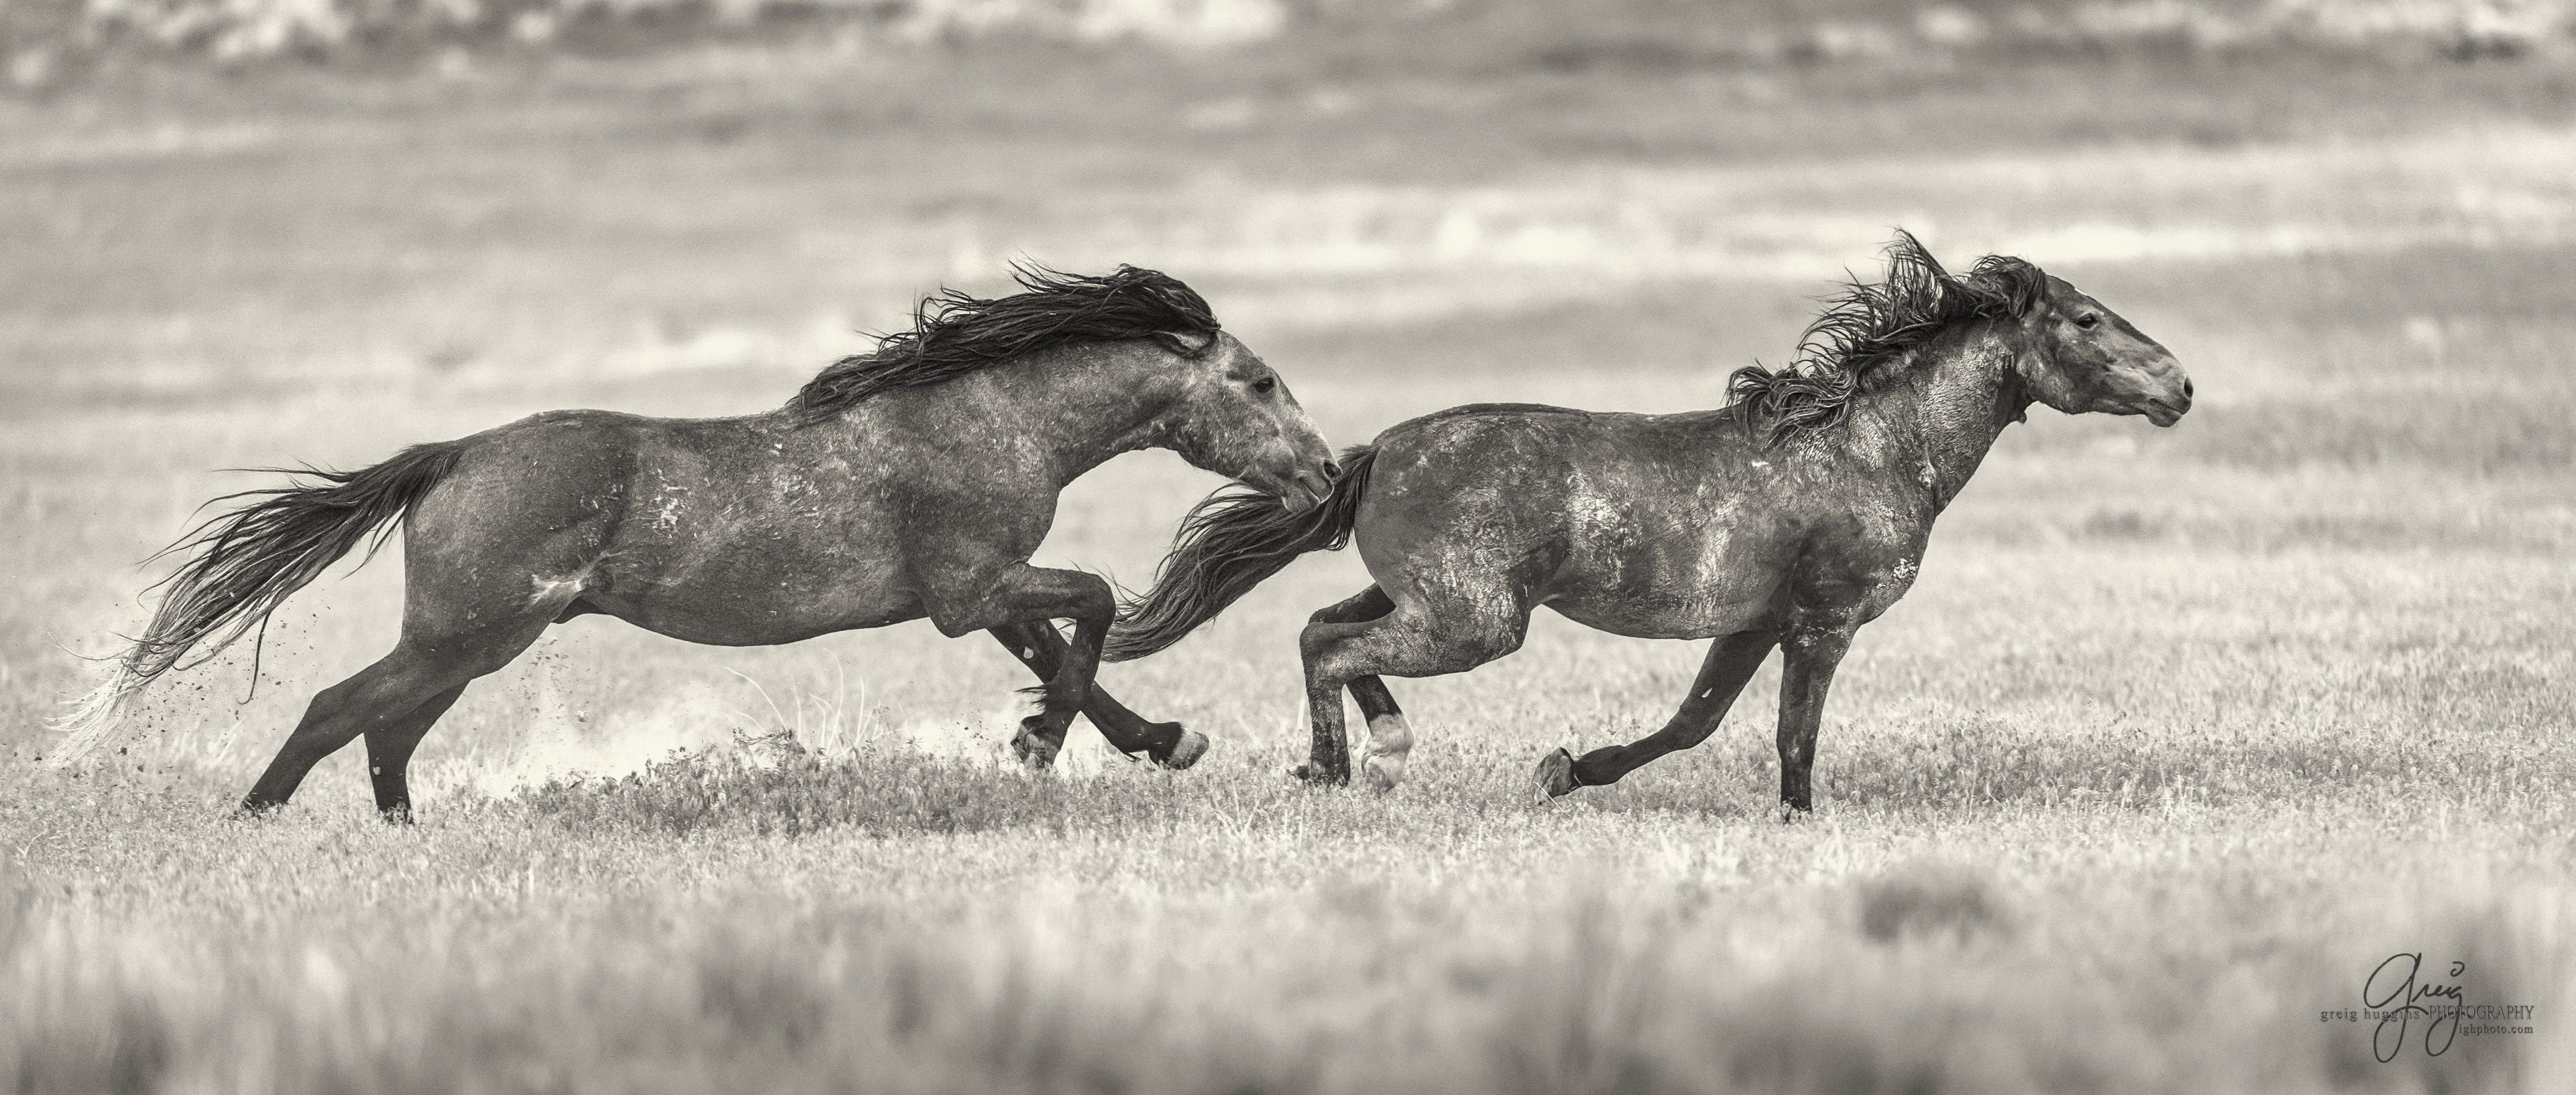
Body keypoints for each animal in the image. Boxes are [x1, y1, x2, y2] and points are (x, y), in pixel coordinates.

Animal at [55, 264, 1337, 821]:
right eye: (1259, 381)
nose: (1327, 475)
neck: (990, 414)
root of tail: (452, 455)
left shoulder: (970, 596)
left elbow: (1070, 647)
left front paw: (1154, 738)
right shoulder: (972, 586)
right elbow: (1098, 609)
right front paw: (1037, 746)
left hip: (476, 643)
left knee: (387, 727)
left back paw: (400, 830)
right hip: (469, 633)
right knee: (339, 707)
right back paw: (258, 820)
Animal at [1104, 234, 2192, 816]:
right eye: (2087, 320)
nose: (2180, 386)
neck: (1870, 446)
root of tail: (1372, 454)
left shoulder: (1753, 622)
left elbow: (1691, 722)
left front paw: (1566, 770)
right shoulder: (1822, 622)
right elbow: (1794, 733)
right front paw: (1799, 820)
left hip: (1425, 602)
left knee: (1319, 630)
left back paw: (1371, 750)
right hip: (1474, 622)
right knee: (1333, 647)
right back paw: (1342, 765)